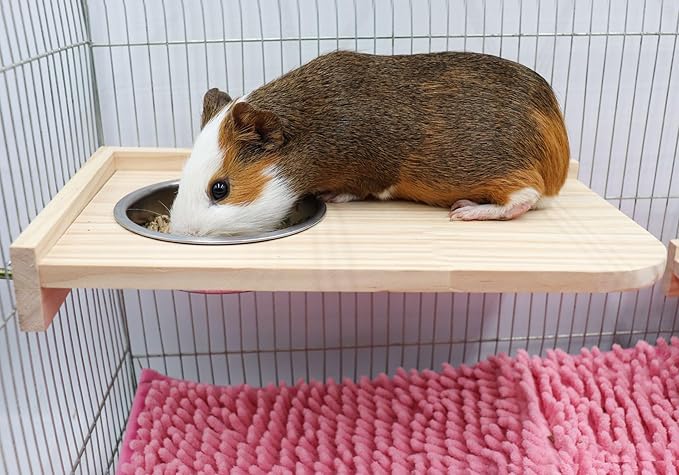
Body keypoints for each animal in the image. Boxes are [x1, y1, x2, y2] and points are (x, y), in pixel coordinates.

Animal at [169, 50, 569, 236]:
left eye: (220, 189)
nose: (183, 231)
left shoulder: (367, 176)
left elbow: (361, 189)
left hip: (508, 176)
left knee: (523, 199)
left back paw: (465, 210)